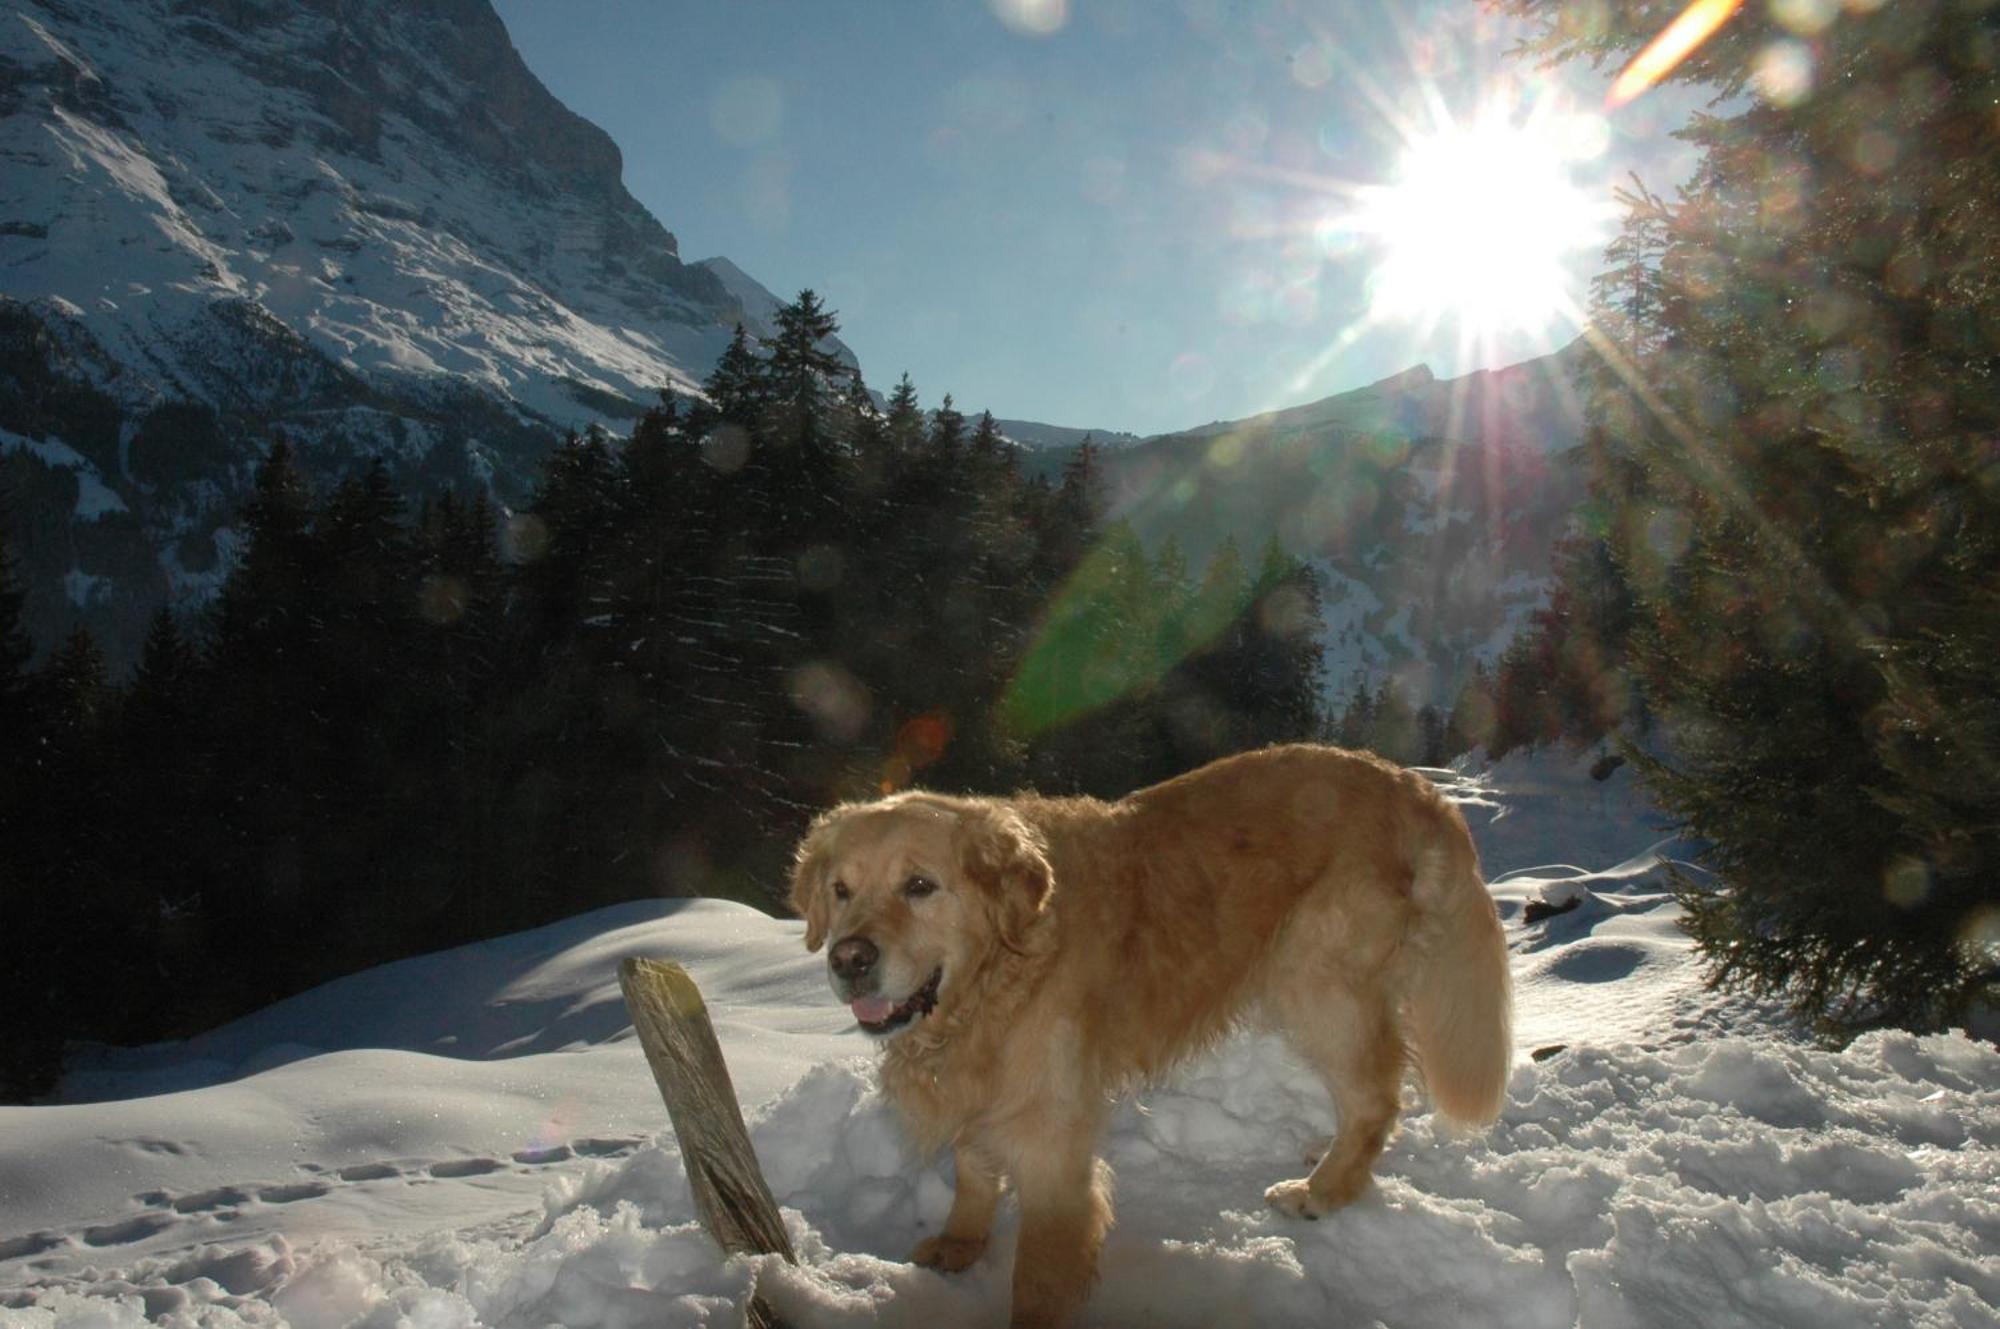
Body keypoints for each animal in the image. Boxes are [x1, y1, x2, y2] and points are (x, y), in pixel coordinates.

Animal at [788, 740, 1504, 1320]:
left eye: (919, 885)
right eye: (841, 890)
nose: (848, 960)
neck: (1001, 977)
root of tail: (1410, 784)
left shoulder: (1052, 1142)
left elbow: (1040, 1277)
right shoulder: (982, 1096)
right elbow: (973, 1169)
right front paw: (962, 1243)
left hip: (1320, 986)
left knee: (1377, 1095)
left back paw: (1324, 1190)